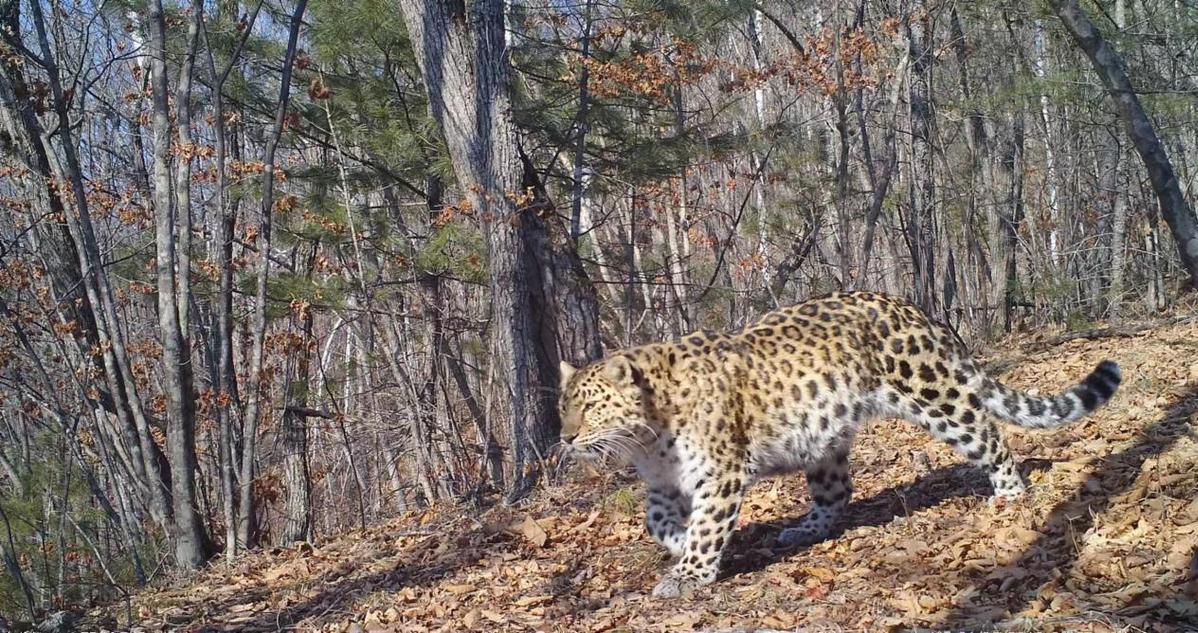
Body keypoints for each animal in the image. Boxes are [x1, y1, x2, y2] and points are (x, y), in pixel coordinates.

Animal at [555, 291, 1116, 599]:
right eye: (563, 406)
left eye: (590, 406)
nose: (564, 436)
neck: (648, 437)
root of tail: (915, 309)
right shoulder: (664, 483)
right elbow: (657, 522)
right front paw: (680, 545)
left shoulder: (720, 471)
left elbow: (708, 526)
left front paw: (690, 573)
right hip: (821, 439)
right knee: (838, 491)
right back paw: (803, 530)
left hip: (937, 396)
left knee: (988, 433)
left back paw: (1010, 495)